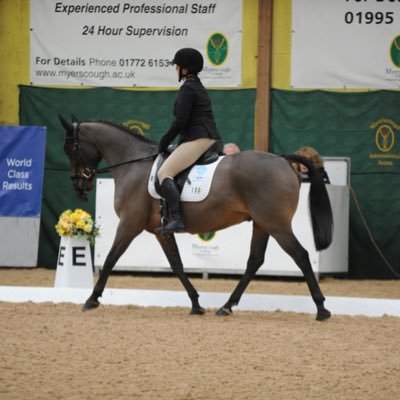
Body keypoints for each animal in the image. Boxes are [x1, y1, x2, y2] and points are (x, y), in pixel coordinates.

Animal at [60, 117, 334, 320]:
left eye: (70, 148)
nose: (79, 187)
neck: (133, 164)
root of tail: (283, 160)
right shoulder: (160, 231)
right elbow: (177, 265)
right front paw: (196, 304)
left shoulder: (129, 225)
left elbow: (110, 259)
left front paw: (91, 299)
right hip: (262, 223)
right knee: (255, 260)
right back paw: (226, 306)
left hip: (276, 224)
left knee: (300, 255)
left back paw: (321, 309)